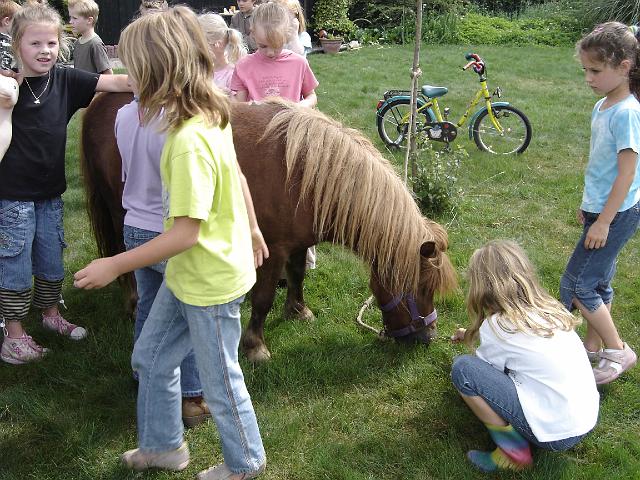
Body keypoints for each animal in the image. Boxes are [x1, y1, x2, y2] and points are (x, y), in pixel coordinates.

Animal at [80, 92, 458, 362]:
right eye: (423, 287)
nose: (427, 338)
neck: (303, 173)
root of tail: (101, 102)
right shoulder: (272, 249)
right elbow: (262, 299)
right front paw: (255, 345)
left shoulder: (299, 243)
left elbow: (298, 275)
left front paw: (298, 310)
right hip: (118, 211)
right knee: (123, 256)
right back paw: (132, 303)